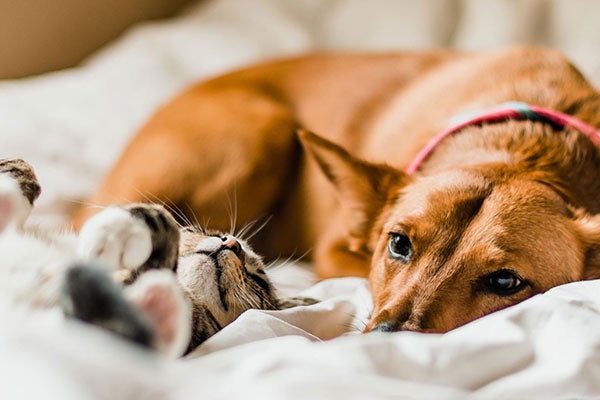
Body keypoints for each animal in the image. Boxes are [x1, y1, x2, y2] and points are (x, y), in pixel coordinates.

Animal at [72, 47, 600, 332]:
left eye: (506, 282)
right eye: (399, 244)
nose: (385, 337)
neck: (524, 145)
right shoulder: (333, 251)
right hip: (264, 131)